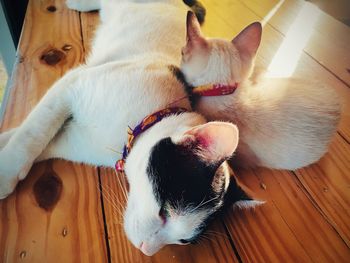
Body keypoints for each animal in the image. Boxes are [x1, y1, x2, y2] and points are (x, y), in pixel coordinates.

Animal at [0, 0, 260, 258]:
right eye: (164, 211)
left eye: (184, 240)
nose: (147, 249)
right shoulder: (73, 84)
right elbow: (32, 133)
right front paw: (7, 170)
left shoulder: (73, 139)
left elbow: (33, 137)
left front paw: (4, 146)